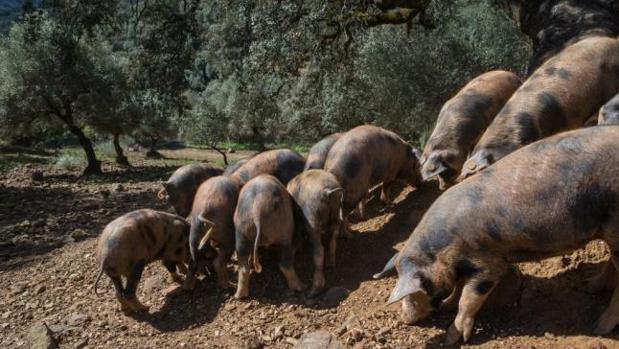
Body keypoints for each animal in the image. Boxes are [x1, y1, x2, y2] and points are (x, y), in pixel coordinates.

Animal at [382, 125, 619, 342]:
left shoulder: (488, 264)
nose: (404, 319)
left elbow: (467, 299)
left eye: (414, 293)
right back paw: (589, 286)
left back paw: (598, 329)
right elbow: (457, 290)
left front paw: (454, 339)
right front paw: (446, 307)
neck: (441, 251)